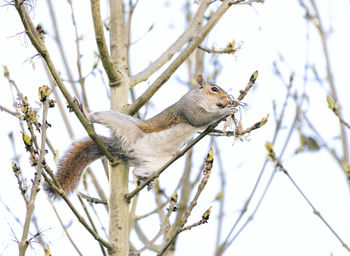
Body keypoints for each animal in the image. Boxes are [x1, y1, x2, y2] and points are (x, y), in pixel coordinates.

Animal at [45, 74, 237, 198]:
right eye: (214, 89)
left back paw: (147, 180)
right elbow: (199, 119)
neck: (199, 99)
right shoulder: (187, 108)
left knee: (137, 171)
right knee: (99, 117)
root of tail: (121, 148)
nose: (229, 99)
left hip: (152, 163)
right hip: (120, 121)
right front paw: (226, 111)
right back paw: (86, 114)